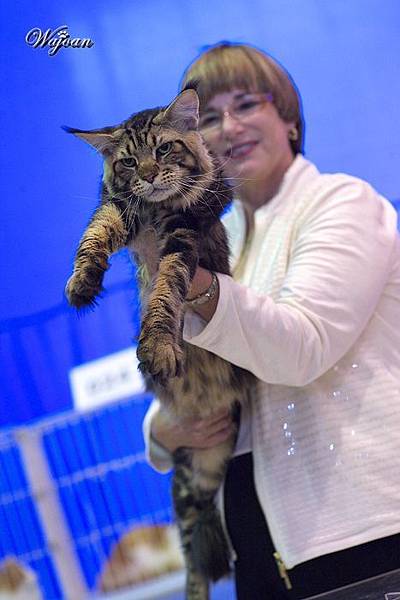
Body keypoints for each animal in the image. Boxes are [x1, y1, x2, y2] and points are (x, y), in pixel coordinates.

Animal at [65, 88, 256, 600]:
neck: (153, 214)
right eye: (130, 161)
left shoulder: (184, 231)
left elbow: (167, 287)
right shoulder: (118, 209)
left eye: (165, 149)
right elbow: (93, 238)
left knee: (198, 560)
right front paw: (82, 283)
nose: (149, 175)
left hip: (204, 474)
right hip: (189, 489)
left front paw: (158, 346)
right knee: (193, 564)